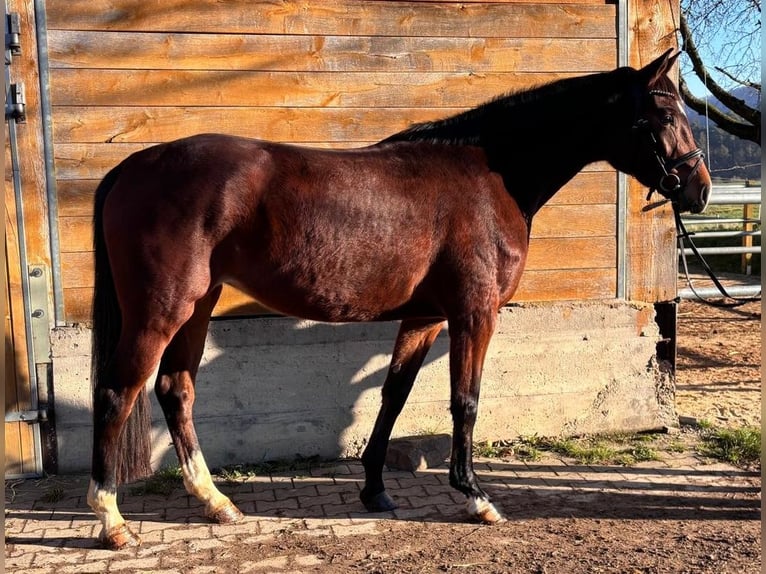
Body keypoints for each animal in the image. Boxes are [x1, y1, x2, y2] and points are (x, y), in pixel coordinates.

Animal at [87, 51, 712, 552]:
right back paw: (111, 521)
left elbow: (393, 395)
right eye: (665, 115)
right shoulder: (473, 314)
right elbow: (465, 402)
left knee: (176, 390)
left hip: (199, 305)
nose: (699, 189)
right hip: (162, 309)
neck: (492, 177)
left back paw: (216, 502)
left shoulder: (425, 317)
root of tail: (132, 166)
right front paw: (475, 496)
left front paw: (374, 489)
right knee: (118, 392)